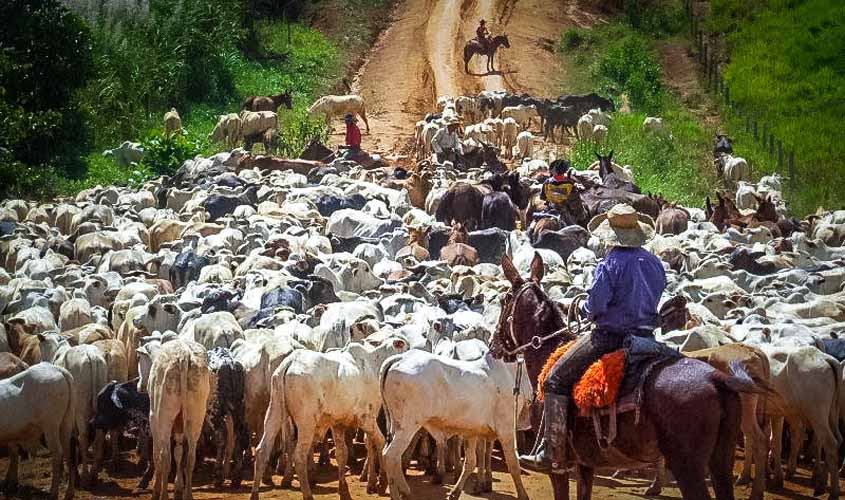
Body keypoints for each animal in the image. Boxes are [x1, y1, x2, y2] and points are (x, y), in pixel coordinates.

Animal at [251, 332, 408, 500]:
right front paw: (381, 482)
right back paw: (308, 494)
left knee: (262, 450)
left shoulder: (337, 423)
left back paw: (255, 493)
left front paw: (344, 490)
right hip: (306, 422)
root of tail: (290, 362)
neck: (373, 362)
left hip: (274, 411)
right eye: (405, 345)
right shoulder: (366, 418)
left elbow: (342, 454)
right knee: (299, 456)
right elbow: (380, 443)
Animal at [488, 254, 764, 500]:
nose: (494, 345)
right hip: (721, 460)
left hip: (688, 466)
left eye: (504, 300)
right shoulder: (585, 462)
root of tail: (717, 379)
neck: (548, 351)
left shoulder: (559, 467)